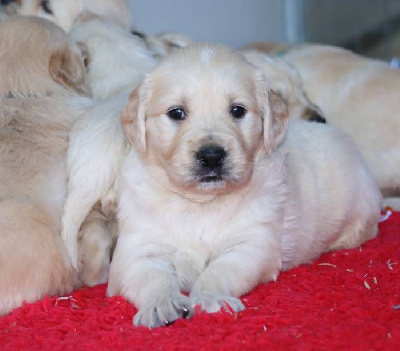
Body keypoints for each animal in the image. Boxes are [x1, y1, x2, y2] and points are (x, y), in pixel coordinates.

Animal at [62, 44, 382, 330]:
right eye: (176, 113)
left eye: (237, 110)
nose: (212, 156)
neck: (200, 204)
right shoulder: (137, 249)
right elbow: (152, 277)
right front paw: (162, 304)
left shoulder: (253, 244)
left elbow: (220, 270)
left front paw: (210, 298)